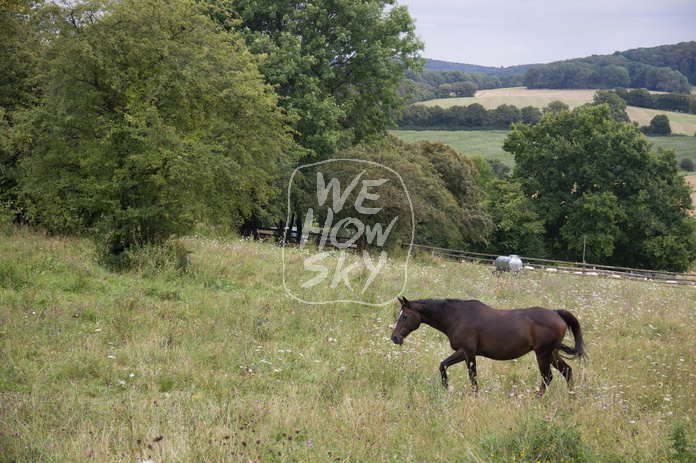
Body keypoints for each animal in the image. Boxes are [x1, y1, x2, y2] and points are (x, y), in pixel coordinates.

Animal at [392, 298, 588, 396]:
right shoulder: (469, 355)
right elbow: (470, 375)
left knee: (547, 377)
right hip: (552, 353)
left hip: (543, 354)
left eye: (405, 316)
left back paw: (536, 398)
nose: (394, 337)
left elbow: (449, 367)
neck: (456, 317)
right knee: (567, 372)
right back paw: (571, 397)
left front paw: (449, 388)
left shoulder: (466, 352)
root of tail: (555, 313)